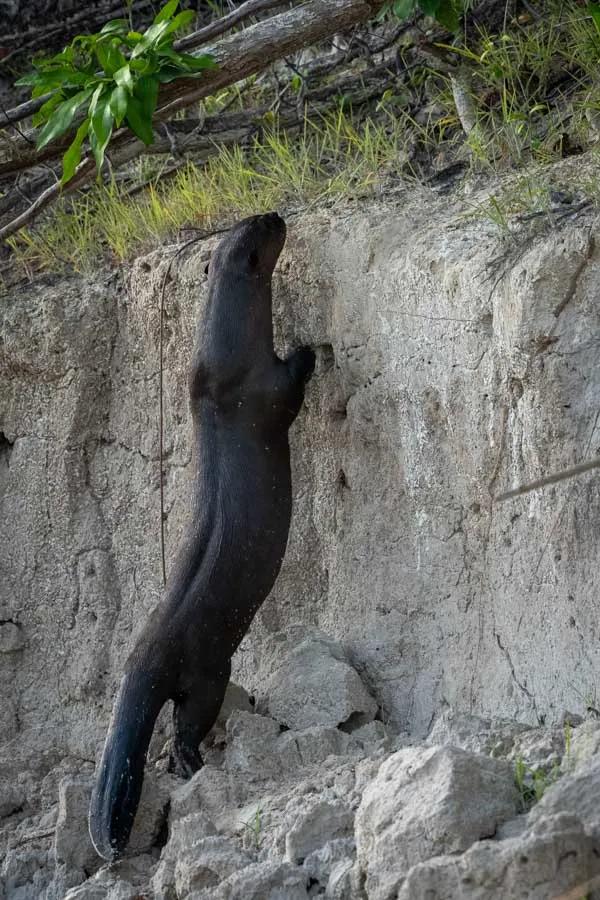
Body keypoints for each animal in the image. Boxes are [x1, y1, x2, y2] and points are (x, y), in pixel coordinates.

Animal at [89, 212, 315, 860]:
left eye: (250, 223)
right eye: (262, 234)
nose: (279, 214)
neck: (223, 369)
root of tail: (140, 660)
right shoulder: (266, 389)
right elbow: (293, 383)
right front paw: (314, 346)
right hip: (207, 670)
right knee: (185, 730)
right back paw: (195, 766)